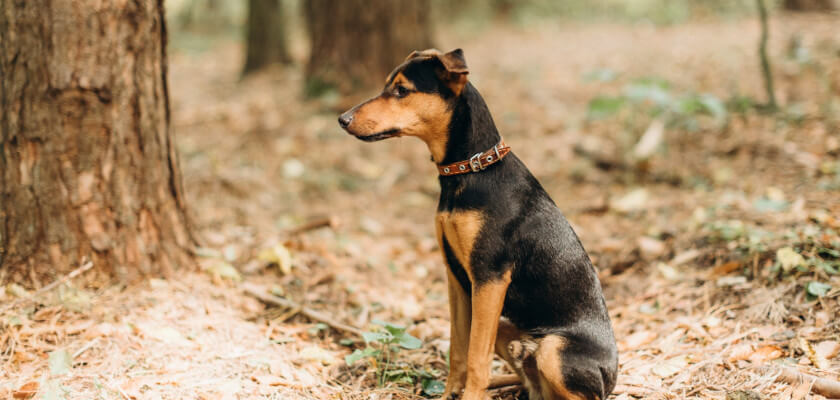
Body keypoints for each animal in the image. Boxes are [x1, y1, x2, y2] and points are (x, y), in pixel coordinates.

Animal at [338, 49, 620, 400]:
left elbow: (475, 357)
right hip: (509, 332)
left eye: (401, 90)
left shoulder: (490, 276)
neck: (470, 171)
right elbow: (458, 350)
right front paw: (448, 395)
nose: (343, 119)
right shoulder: (457, 278)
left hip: (554, 350)